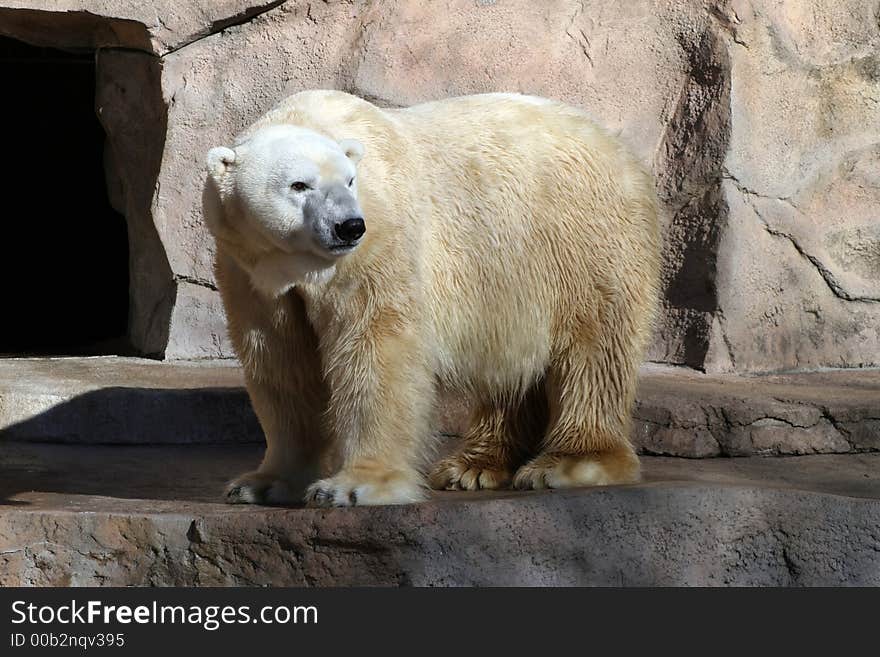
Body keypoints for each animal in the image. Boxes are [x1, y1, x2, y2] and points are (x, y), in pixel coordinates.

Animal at [205, 89, 660, 504]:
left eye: (350, 180)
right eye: (298, 185)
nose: (348, 226)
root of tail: (621, 150)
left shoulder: (379, 242)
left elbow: (376, 348)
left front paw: (355, 486)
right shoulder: (249, 270)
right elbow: (282, 363)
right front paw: (262, 483)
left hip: (579, 240)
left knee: (594, 349)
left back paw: (570, 463)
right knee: (514, 364)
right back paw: (472, 467)